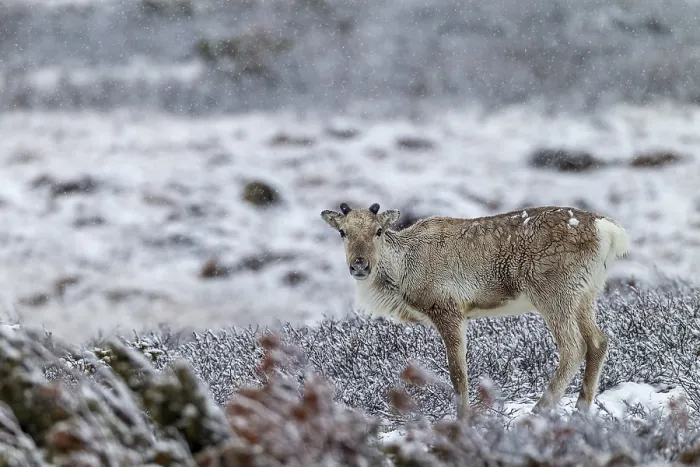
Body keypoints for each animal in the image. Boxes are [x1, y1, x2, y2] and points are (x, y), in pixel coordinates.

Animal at [320, 202, 629, 419]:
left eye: (378, 231)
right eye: (342, 232)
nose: (360, 265)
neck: (401, 273)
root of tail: (608, 230)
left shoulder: (447, 310)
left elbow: (458, 374)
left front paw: (463, 419)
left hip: (554, 293)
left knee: (574, 346)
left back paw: (539, 411)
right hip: (586, 294)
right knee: (598, 341)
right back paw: (581, 411)